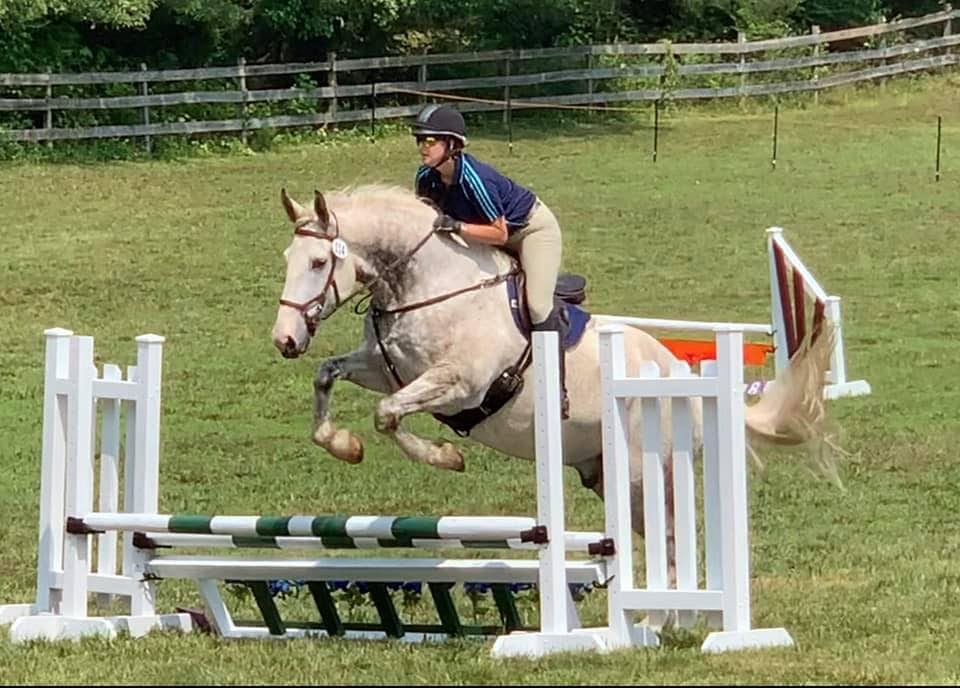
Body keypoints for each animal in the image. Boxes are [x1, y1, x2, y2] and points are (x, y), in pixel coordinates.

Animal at [270, 184, 835, 584]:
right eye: (287, 261)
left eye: (318, 262)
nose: (285, 340)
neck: (428, 287)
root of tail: (686, 382)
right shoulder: (381, 367)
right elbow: (329, 377)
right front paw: (342, 445)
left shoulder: (460, 385)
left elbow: (387, 413)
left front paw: (446, 457)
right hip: (608, 475)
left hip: (645, 469)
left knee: (672, 533)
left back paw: (663, 618)